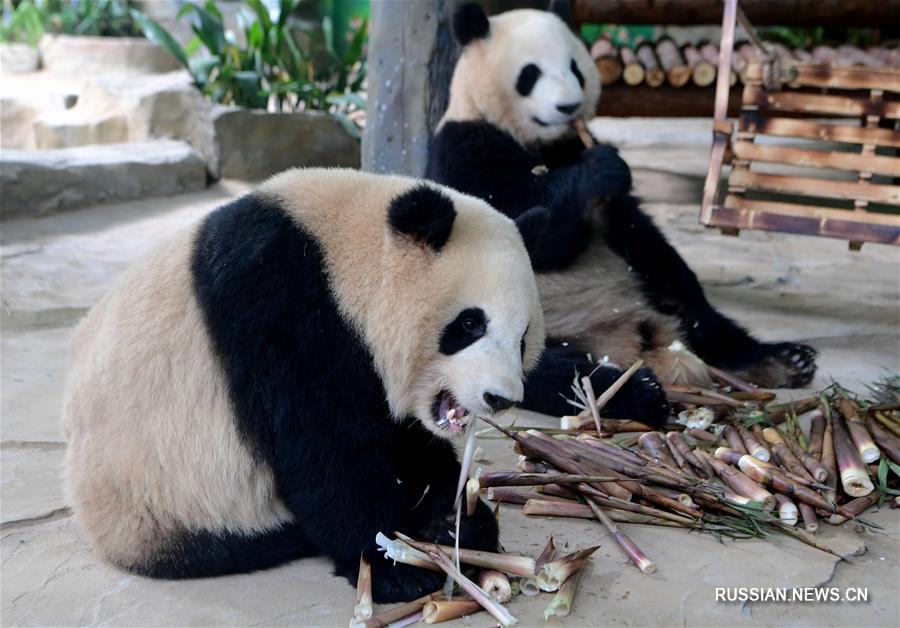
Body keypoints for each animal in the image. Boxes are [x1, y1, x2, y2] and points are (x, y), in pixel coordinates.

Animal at [61, 169, 556, 600]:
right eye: (470, 323)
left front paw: (458, 524)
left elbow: (405, 443)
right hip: (159, 494)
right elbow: (326, 450)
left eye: (524, 339)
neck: (342, 258)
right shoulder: (286, 310)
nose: (500, 398)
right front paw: (394, 568)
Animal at [426, 2, 820, 410]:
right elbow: (533, 229)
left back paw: (782, 361)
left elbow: (637, 231)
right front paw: (602, 167)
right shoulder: (465, 149)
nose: (568, 107)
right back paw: (635, 392)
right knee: (547, 371)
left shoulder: (578, 157)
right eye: (530, 74)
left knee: (704, 319)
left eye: (575, 68)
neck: (538, 141)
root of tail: (636, 343)